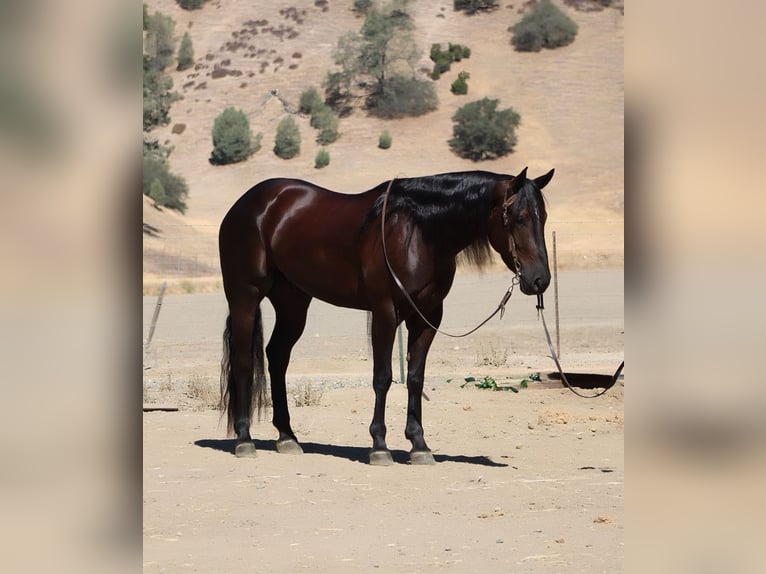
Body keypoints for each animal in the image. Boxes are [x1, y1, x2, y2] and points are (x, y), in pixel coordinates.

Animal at [218, 167, 554, 464]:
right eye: (520, 217)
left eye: (544, 217)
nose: (540, 280)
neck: (418, 233)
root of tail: (246, 205)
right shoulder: (384, 312)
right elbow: (382, 377)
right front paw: (379, 446)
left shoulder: (428, 316)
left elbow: (415, 378)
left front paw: (419, 445)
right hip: (245, 297)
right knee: (244, 360)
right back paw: (244, 439)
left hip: (293, 303)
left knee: (277, 357)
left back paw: (287, 437)